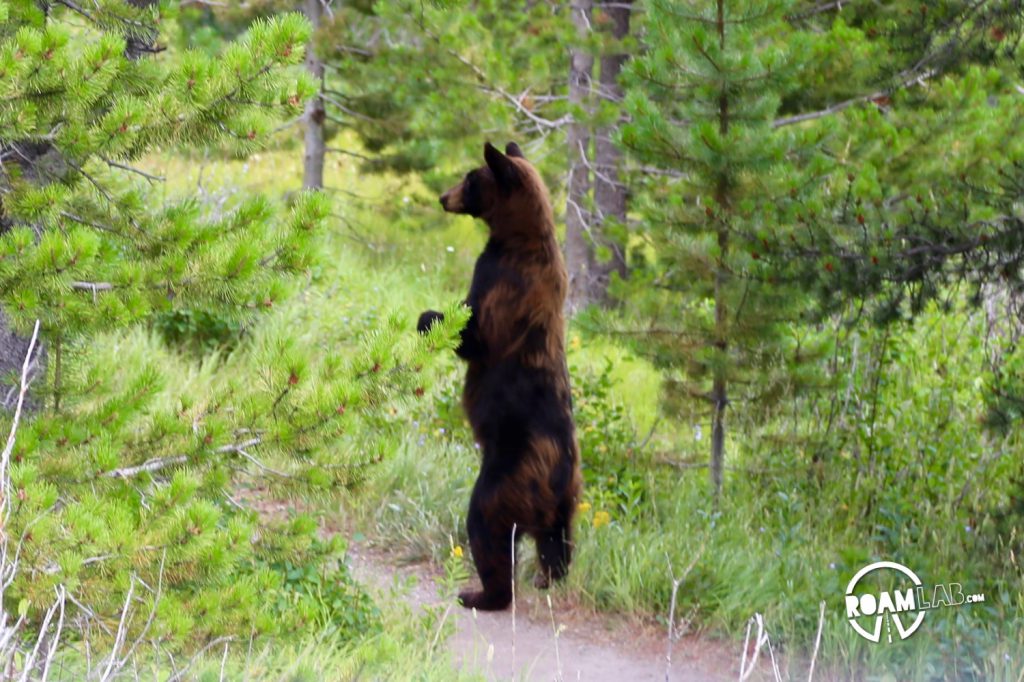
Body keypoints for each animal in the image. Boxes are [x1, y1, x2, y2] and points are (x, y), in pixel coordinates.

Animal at [413, 140, 577, 606]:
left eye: (470, 179)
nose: (443, 197)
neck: (520, 239)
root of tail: (557, 476)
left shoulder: (502, 283)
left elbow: (475, 336)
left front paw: (429, 318)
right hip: (567, 505)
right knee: (559, 544)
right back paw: (548, 579)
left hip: (509, 477)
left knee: (486, 524)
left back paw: (483, 594)